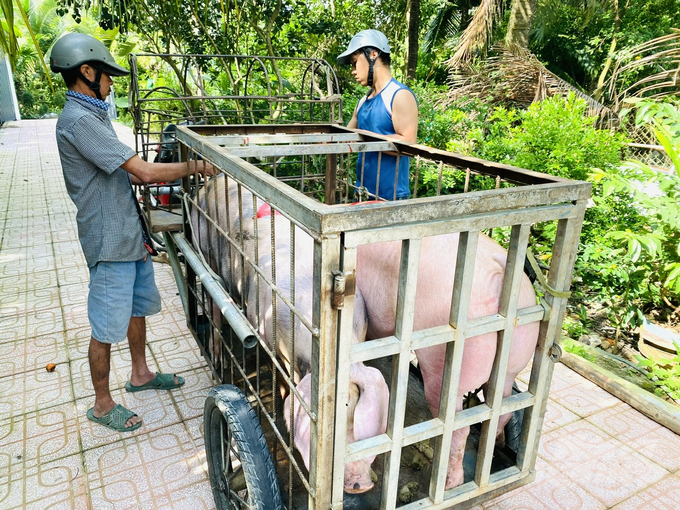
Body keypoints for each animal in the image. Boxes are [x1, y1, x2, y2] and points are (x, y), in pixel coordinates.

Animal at [356, 231, 540, 486]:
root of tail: (500, 274)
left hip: (445, 359)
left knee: (456, 426)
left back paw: (449, 482)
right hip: (517, 349)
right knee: (502, 409)